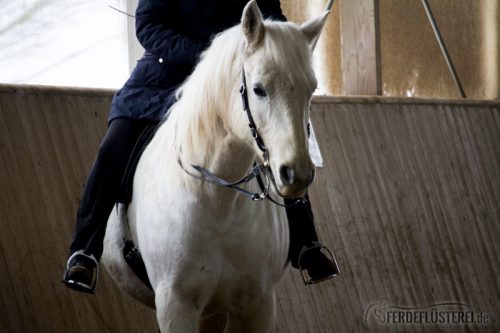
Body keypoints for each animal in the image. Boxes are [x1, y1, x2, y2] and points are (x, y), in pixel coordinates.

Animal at [102, 1, 328, 330]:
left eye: (311, 89)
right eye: (258, 89)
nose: (296, 174)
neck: (215, 199)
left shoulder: (257, 305)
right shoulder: (175, 306)